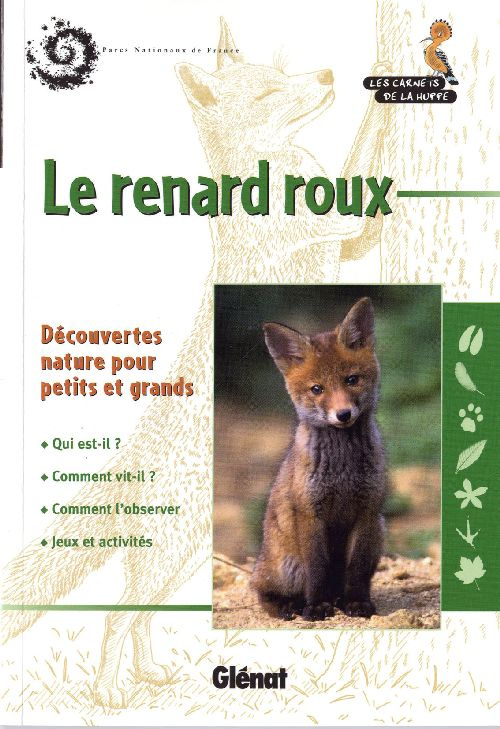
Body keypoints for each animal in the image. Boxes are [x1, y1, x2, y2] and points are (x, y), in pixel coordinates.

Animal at [251, 298, 387, 621]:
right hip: (286, 568)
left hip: (380, 531)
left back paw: (338, 599)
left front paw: (357, 603)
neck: (342, 468)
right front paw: (315, 607)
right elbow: (317, 568)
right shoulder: (310, 513)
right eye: (317, 389)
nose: (343, 414)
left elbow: (357, 570)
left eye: (351, 380)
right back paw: (290, 606)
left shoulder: (367, 511)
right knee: (263, 592)